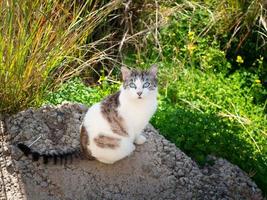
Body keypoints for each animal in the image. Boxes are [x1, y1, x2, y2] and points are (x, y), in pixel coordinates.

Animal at [17, 65, 158, 165]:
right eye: (133, 85)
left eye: (146, 84)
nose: (139, 93)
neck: (142, 103)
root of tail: (83, 150)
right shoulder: (134, 126)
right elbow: (135, 135)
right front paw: (138, 141)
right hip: (117, 144)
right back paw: (129, 150)